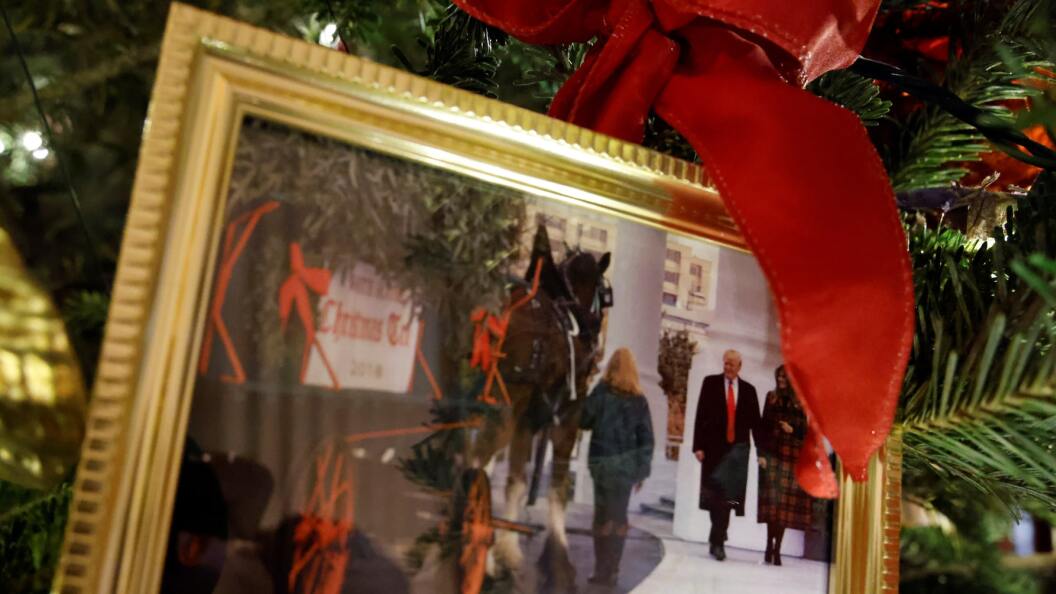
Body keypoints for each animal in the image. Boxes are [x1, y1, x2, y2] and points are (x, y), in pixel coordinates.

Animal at [472, 224, 612, 591]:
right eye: (605, 294)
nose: (596, 337)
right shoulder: (568, 415)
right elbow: (558, 487)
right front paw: (559, 564)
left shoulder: (528, 419)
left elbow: (517, 481)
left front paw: (509, 551)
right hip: (505, 401)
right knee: (479, 460)